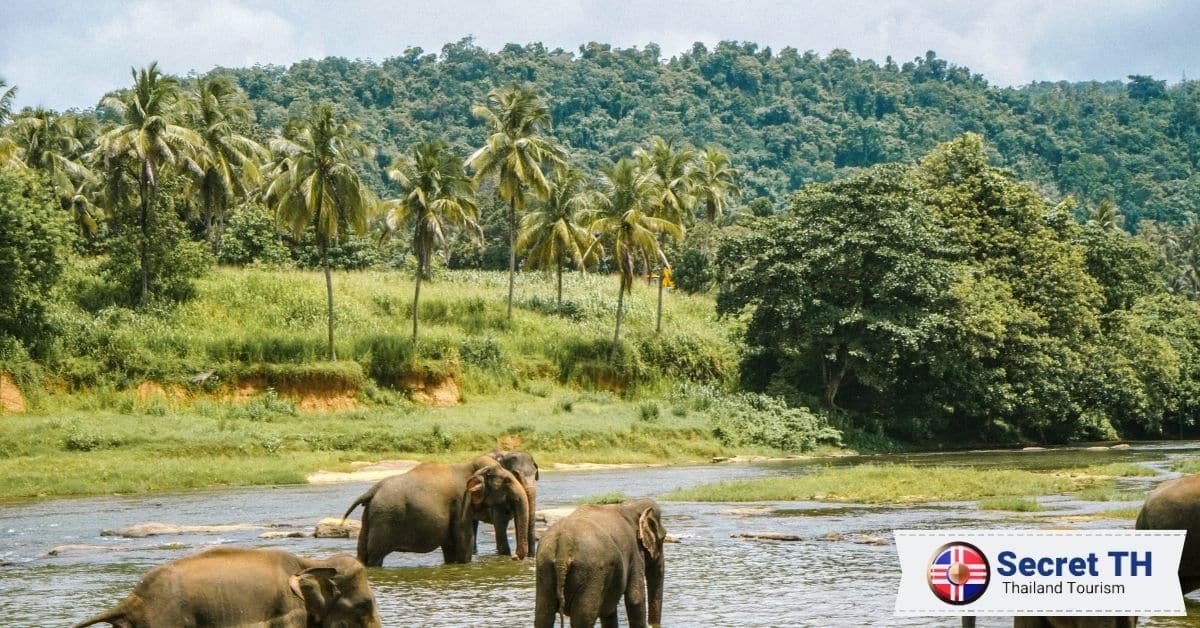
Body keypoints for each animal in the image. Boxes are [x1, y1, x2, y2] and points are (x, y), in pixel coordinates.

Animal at [342, 454, 530, 566]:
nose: (515, 557)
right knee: (375, 556)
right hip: (384, 519)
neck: (468, 467)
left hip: (370, 517)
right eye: (507, 481)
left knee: (363, 553)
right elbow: (464, 545)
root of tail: (372, 491)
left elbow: (451, 549)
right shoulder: (461, 504)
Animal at [535, 497, 666, 628]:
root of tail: (564, 542)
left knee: (543, 613)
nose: (653, 624)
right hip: (592, 573)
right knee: (585, 616)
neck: (630, 505)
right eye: (663, 538)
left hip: (544, 566)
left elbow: (609, 610)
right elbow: (635, 598)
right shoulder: (635, 552)